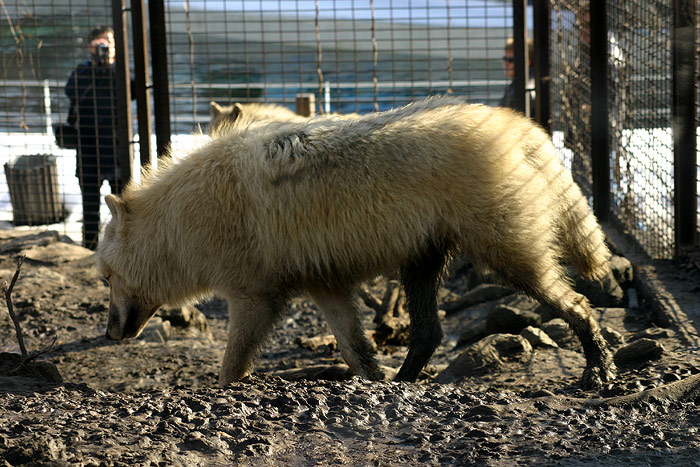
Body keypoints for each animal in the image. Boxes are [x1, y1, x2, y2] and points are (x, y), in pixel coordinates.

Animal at [100, 96, 616, 392]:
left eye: (106, 280)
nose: (108, 335)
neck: (180, 218)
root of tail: (524, 126)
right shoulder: (325, 287)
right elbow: (356, 351)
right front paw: (373, 381)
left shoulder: (255, 300)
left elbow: (231, 369)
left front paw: (222, 393)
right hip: (421, 266)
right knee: (429, 334)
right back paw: (401, 384)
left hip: (510, 262)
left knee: (579, 306)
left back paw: (599, 372)